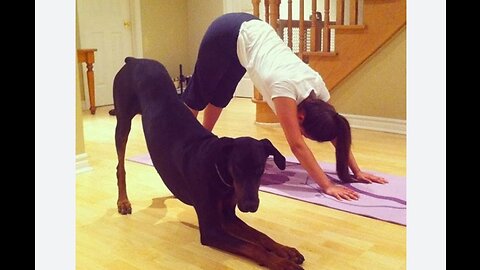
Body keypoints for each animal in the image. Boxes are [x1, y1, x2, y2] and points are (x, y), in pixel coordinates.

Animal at [113, 58, 304, 268]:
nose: (249, 206)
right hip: (123, 120)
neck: (220, 174)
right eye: (236, 168)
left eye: (260, 169)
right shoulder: (211, 229)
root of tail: (135, 60)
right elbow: (252, 247)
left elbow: (260, 236)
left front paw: (286, 250)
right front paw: (281, 263)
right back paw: (123, 202)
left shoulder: (228, 216)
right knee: (120, 166)